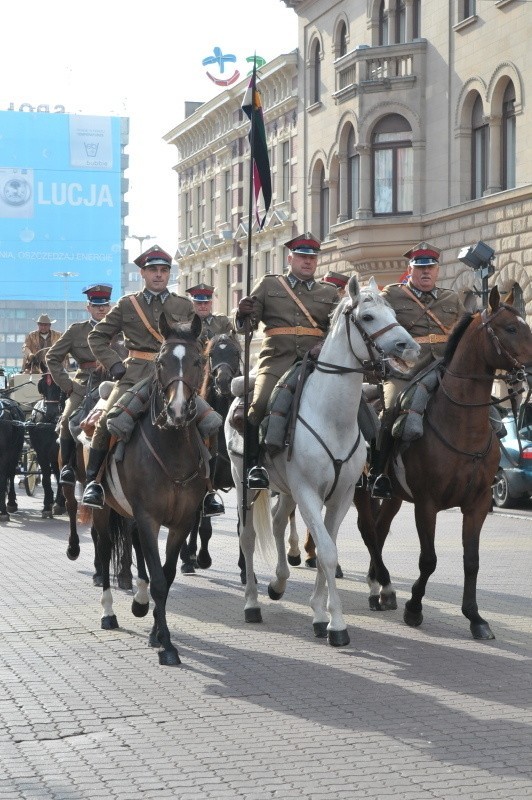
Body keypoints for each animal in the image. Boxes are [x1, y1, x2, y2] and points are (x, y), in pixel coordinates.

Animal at [92, 316, 207, 664]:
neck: (172, 450)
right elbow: (157, 580)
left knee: (135, 547)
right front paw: (167, 644)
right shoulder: (148, 517)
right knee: (105, 552)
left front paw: (157, 632)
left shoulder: (181, 522)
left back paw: (139, 603)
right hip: (104, 511)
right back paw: (108, 614)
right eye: (161, 361)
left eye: (198, 360)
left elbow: (165, 578)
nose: (178, 410)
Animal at [181, 334, 243, 572]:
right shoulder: (209, 482)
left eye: (236, 353)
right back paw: (188, 557)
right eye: (211, 354)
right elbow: (204, 526)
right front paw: (203, 558)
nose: (224, 381)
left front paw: (245, 568)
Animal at [227, 278, 422, 648]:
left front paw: (320, 614)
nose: (410, 347)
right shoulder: (308, 492)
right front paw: (337, 626)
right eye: (368, 316)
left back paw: (279, 583)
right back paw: (251, 603)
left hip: (287, 490)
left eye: (394, 312)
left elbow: (323, 550)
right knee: (246, 537)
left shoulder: (341, 495)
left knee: (277, 522)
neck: (332, 417)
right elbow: (327, 553)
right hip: (245, 481)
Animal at [354, 284, 532, 640]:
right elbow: (429, 559)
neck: (462, 424)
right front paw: (414, 608)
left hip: (393, 496)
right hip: (361, 491)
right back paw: (380, 587)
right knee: (368, 532)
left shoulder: (478, 503)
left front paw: (475, 617)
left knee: (380, 531)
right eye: (510, 328)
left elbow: (471, 560)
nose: (531, 371)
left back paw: (381, 587)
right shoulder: (427, 503)